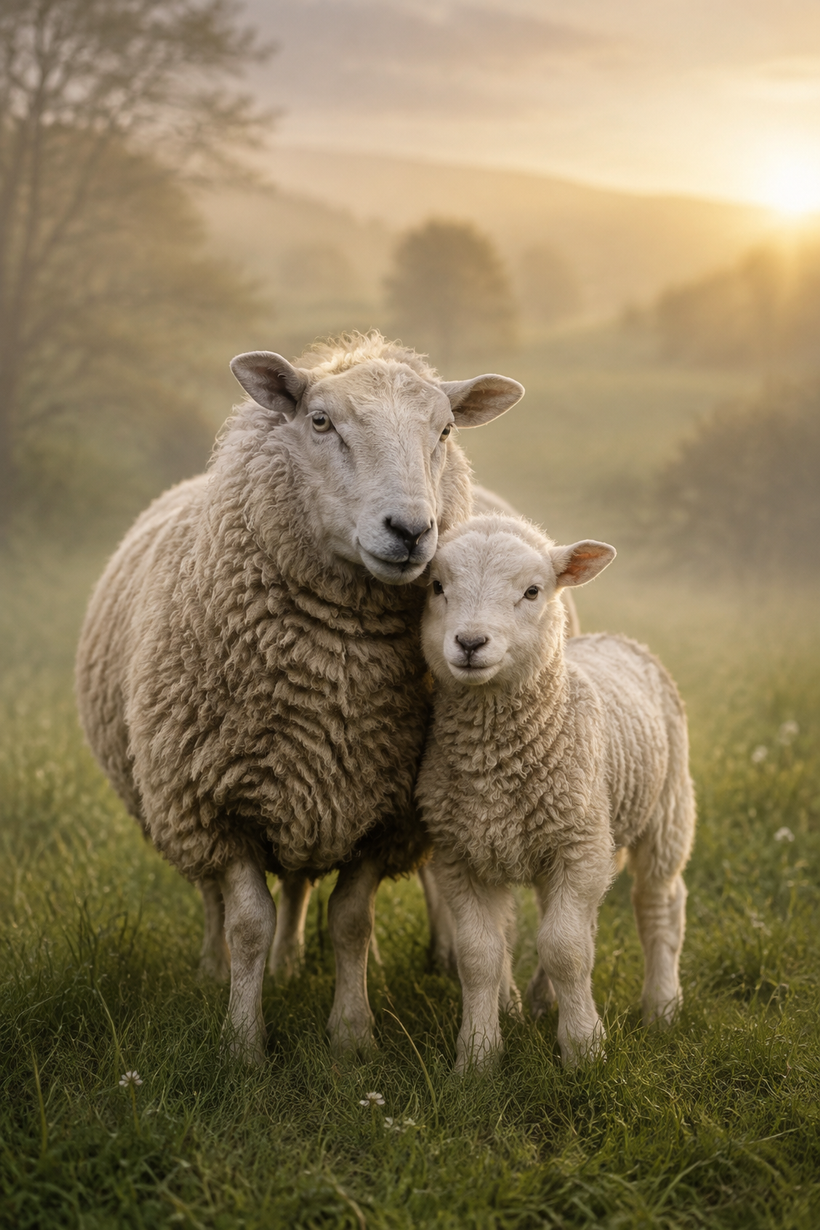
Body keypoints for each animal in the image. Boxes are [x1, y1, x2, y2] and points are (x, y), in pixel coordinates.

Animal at [75, 332, 525, 1064]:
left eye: (445, 431)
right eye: (320, 421)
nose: (411, 530)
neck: (330, 685)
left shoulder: (384, 809)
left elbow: (350, 922)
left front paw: (351, 1034)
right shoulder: (217, 802)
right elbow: (248, 922)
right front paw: (242, 1042)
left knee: (309, 881)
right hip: (189, 802)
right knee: (218, 896)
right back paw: (222, 968)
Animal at [415, 514, 696, 1070]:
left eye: (532, 591)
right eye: (437, 587)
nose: (470, 642)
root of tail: (618, 638)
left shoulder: (577, 846)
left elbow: (567, 950)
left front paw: (585, 1050)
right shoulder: (459, 853)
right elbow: (479, 956)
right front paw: (477, 1057)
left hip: (667, 810)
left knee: (659, 903)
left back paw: (661, 1006)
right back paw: (543, 1002)